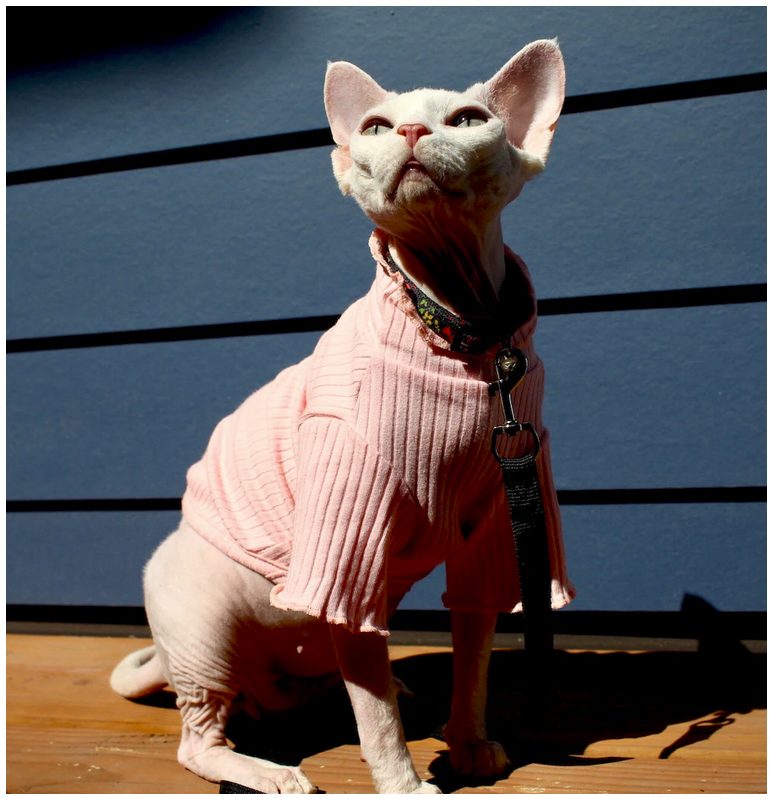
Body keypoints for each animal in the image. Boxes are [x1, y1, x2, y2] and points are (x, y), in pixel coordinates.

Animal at [111, 40, 572, 796]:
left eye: (468, 119)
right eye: (376, 127)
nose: (409, 132)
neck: (460, 332)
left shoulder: (494, 521)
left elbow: (472, 653)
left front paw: (468, 740)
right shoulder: (346, 544)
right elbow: (377, 717)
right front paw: (405, 782)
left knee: (319, 686)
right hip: (202, 619)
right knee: (201, 737)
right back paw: (266, 769)